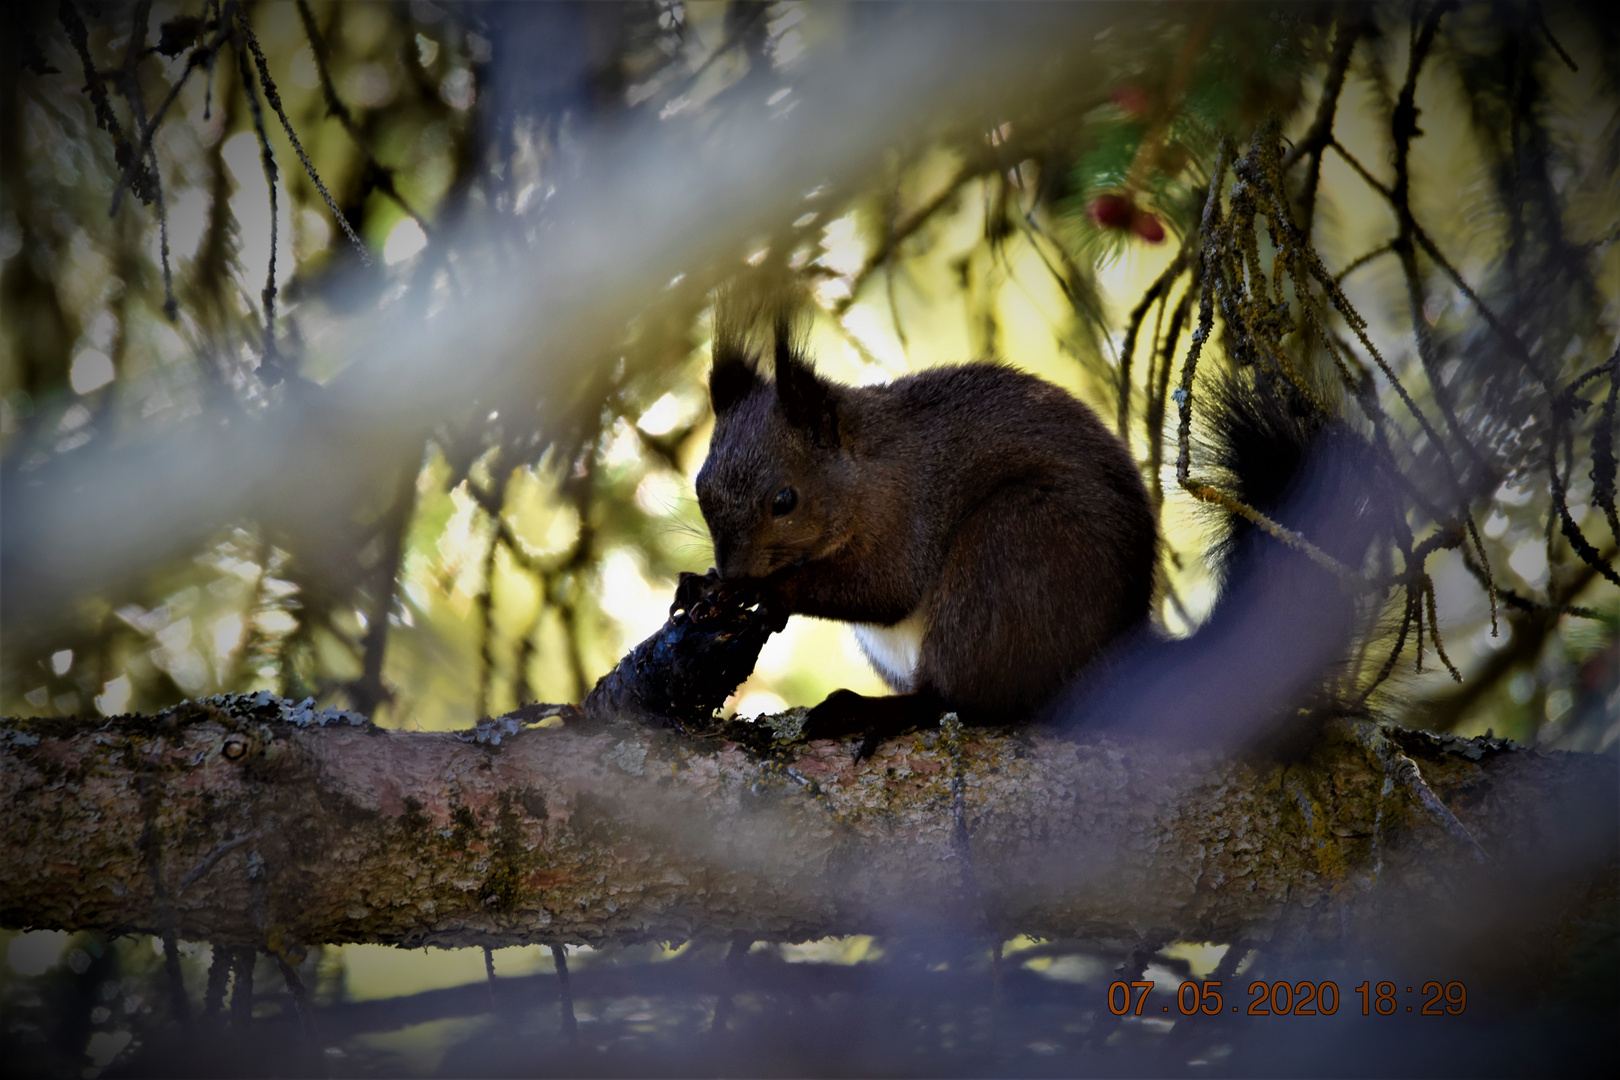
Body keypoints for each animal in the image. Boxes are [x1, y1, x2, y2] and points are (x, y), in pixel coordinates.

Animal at [690, 317, 1159, 748]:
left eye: (785, 500)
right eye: (700, 487)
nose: (732, 571)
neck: (866, 473)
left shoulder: (907, 516)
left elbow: (887, 591)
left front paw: (764, 591)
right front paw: (706, 586)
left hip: (1014, 547)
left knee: (957, 699)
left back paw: (867, 710)